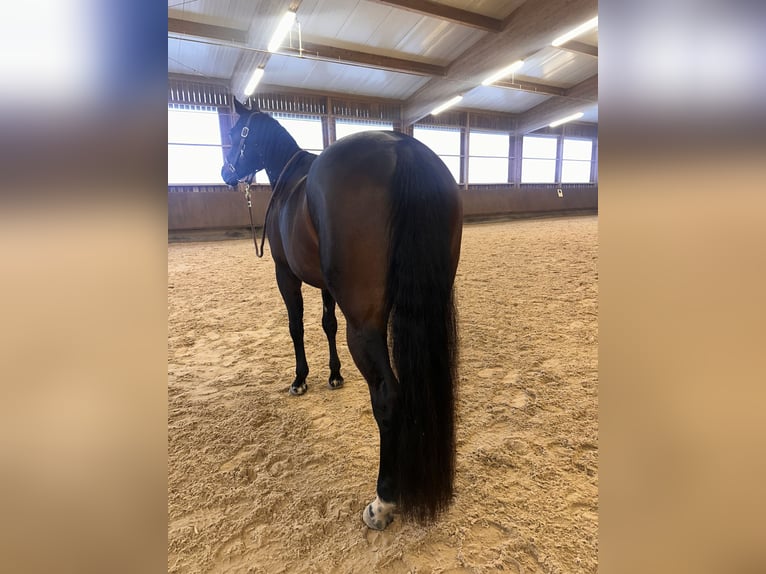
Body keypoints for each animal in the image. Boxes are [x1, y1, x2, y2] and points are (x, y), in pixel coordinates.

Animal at [221, 98, 462, 530]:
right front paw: (334, 376)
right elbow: (327, 324)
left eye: (235, 133)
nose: (226, 172)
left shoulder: (285, 274)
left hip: (364, 324)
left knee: (388, 396)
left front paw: (300, 379)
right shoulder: (326, 287)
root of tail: (404, 150)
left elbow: (297, 326)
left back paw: (384, 501)